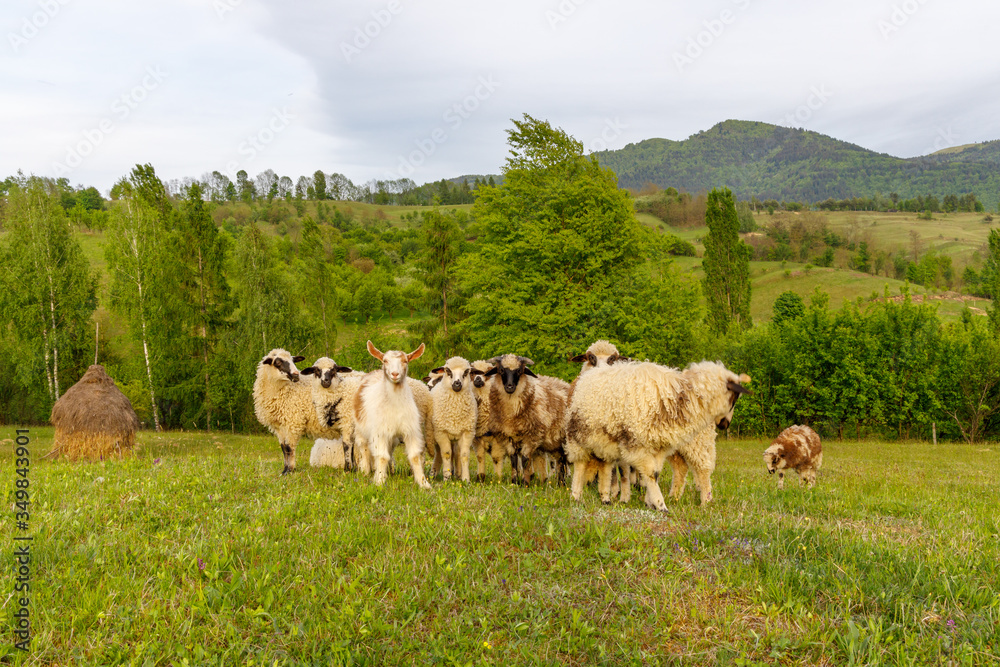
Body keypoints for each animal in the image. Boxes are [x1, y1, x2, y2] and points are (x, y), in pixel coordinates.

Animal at [352, 340, 432, 489]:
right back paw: (365, 471)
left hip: (392, 437)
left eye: (405, 361)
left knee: (389, 450)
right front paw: (379, 481)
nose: (395, 374)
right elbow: (381, 456)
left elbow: (415, 456)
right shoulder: (380, 432)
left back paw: (389, 471)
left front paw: (424, 483)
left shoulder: (411, 430)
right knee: (364, 448)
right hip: (360, 428)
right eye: (385, 360)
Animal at [484, 354, 571, 485]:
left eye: (520, 371)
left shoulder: (532, 435)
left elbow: (525, 460)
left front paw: (525, 483)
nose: (510, 386)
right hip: (556, 442)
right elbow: (514, 460)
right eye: (501, 370)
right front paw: (514, 482)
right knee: (561, 461)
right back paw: (561, 483)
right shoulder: (507, 436)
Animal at [566, 360, 750, 511]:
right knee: (580, 465)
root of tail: (585, 378)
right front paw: (661, 505)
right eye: (735, 397)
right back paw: (576, 496)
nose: (725, 424)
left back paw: (606, 498)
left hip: (604, 440)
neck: (680, 398)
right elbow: (651, 474)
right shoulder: (638, 445)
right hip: (580, 436)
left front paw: (651, 503)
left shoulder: (659, 446)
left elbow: (655, 474)